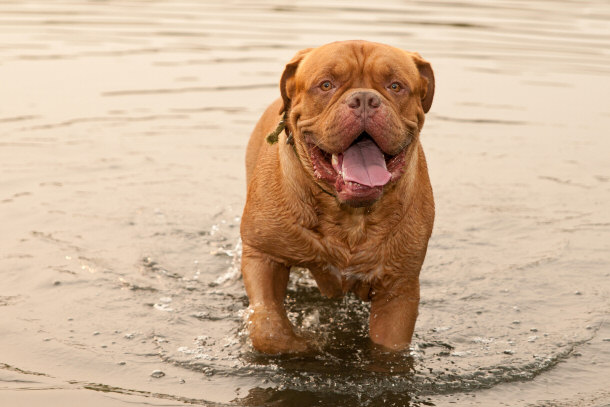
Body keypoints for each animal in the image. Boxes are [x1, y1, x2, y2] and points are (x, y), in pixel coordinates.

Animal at [238, 39, 432, 356]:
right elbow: (268, 328)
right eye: (326, 84)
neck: (350, 216)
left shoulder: (399, 288)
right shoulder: (263, 255)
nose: (365, 99)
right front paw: (305, 344)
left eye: (395, 86)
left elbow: (389, 346)